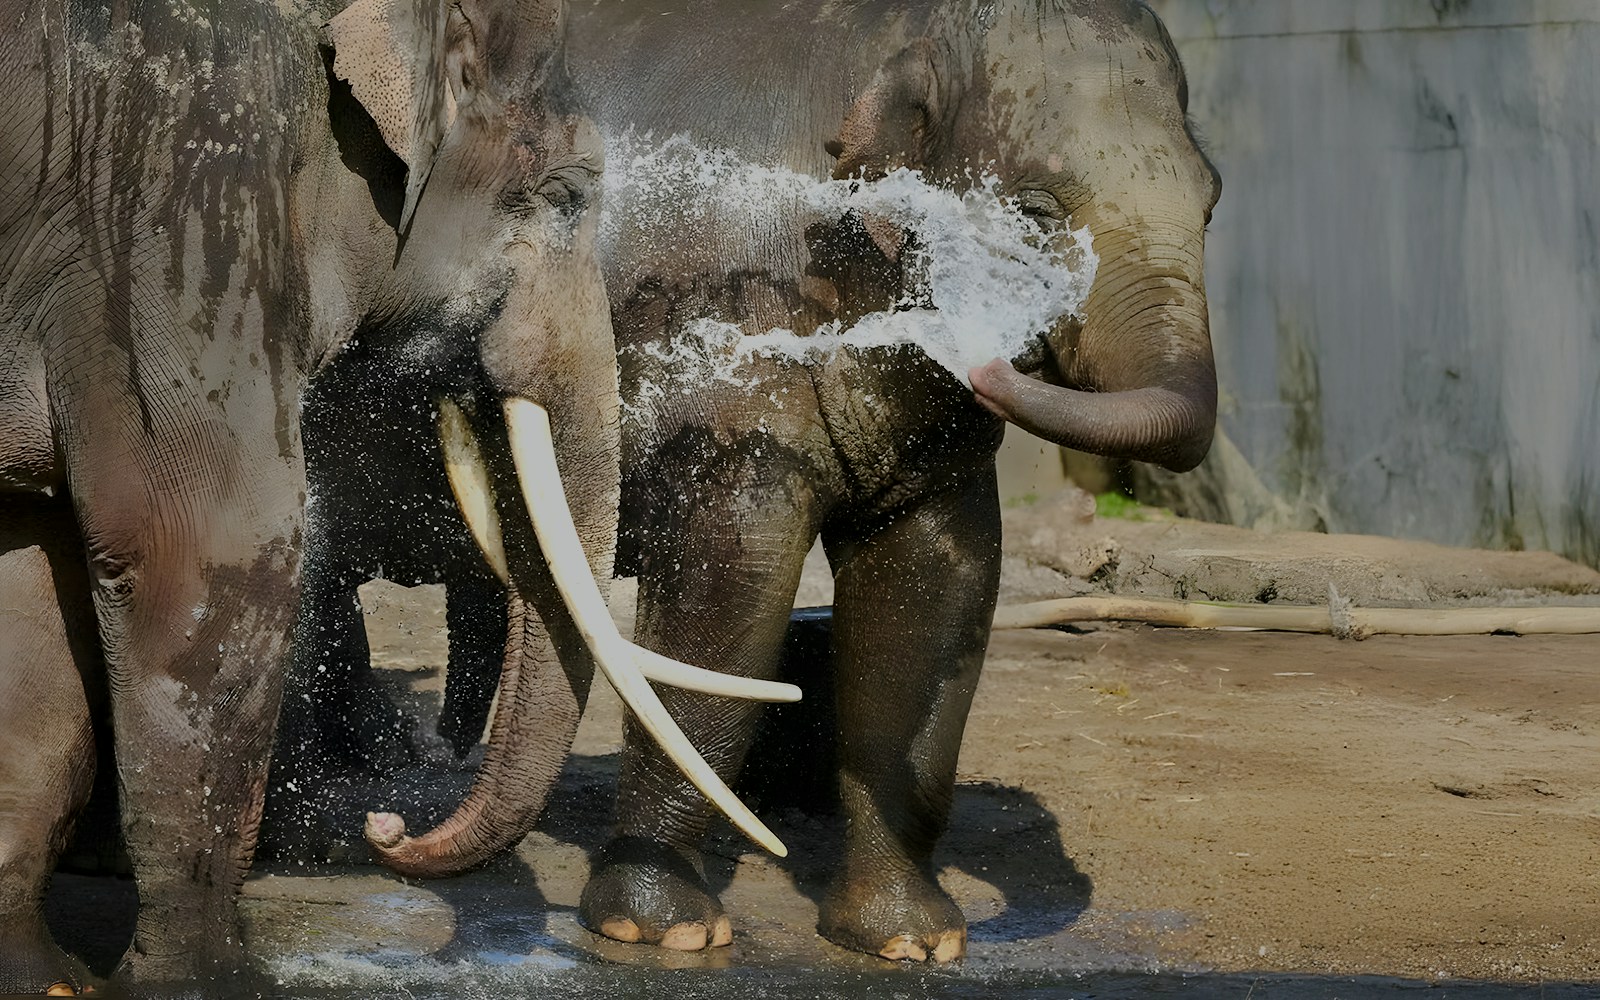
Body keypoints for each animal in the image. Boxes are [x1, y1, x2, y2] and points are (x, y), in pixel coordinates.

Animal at [0, 0, 775, 988]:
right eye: (567, 197)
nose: (390, 827)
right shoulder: (181, 218)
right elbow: (207, 556)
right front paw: (213, 987)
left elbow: (32, 580)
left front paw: (41, 981)